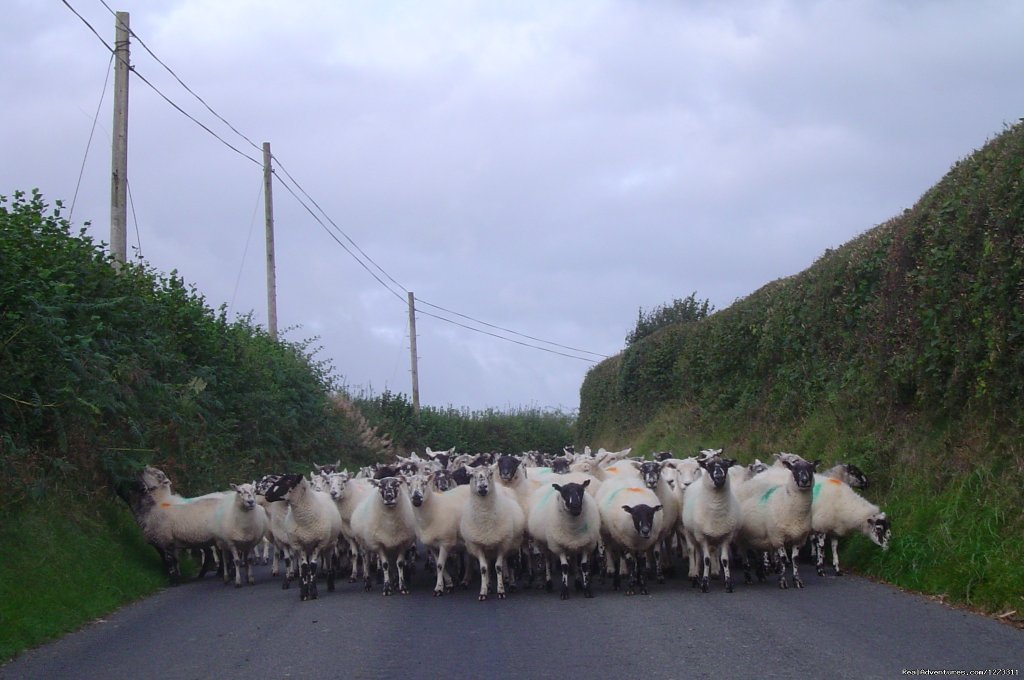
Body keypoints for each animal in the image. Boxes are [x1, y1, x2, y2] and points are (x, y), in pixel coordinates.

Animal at [264, 473, 344, 602]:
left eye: (288, 481)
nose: (266, 495)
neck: (303, 518)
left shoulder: (318, 544)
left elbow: (313, 567)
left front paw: (314, 592)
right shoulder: (298, 545)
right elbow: (305, 567)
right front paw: (304, 593)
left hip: (329, 544)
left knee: (329, 560)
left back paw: (330, 584)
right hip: (307, 546)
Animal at [464, 462, 528, 602]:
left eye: (490, 473)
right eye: (471, 475)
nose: (483, 487)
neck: (485, 519)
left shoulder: (502, 544)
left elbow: (498, 567)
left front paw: (501, 591)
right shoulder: (478, 545)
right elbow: (483, 568)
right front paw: (483, 592)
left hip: (513, 544)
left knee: (510, 563)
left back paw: (512, 584)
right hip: (488, 548)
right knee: (488, 566)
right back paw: (488, 586)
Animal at [684, 454, 741, 593]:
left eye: (726, 465)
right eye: (709, 466)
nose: (719, 477)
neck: (716, 508)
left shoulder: (726, 536)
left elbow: (724, 560)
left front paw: (728, 583)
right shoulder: (702, 537)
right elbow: (706, 560)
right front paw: (704, 584)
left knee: (705, 553)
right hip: (691, 534)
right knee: (694, 551)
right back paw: (695, 576)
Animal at [737, 450, 815, 589]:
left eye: (810, 468)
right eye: (794, 466)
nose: (804, 481)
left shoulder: (799, 537)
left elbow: (795, 559)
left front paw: (797, 580)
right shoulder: (778, 536)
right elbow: (782, 558)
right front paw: (782, 580)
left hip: (757, 533)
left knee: (758, 552)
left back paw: (761, 573)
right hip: (743, 536)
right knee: (745, 554)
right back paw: (749, 576)